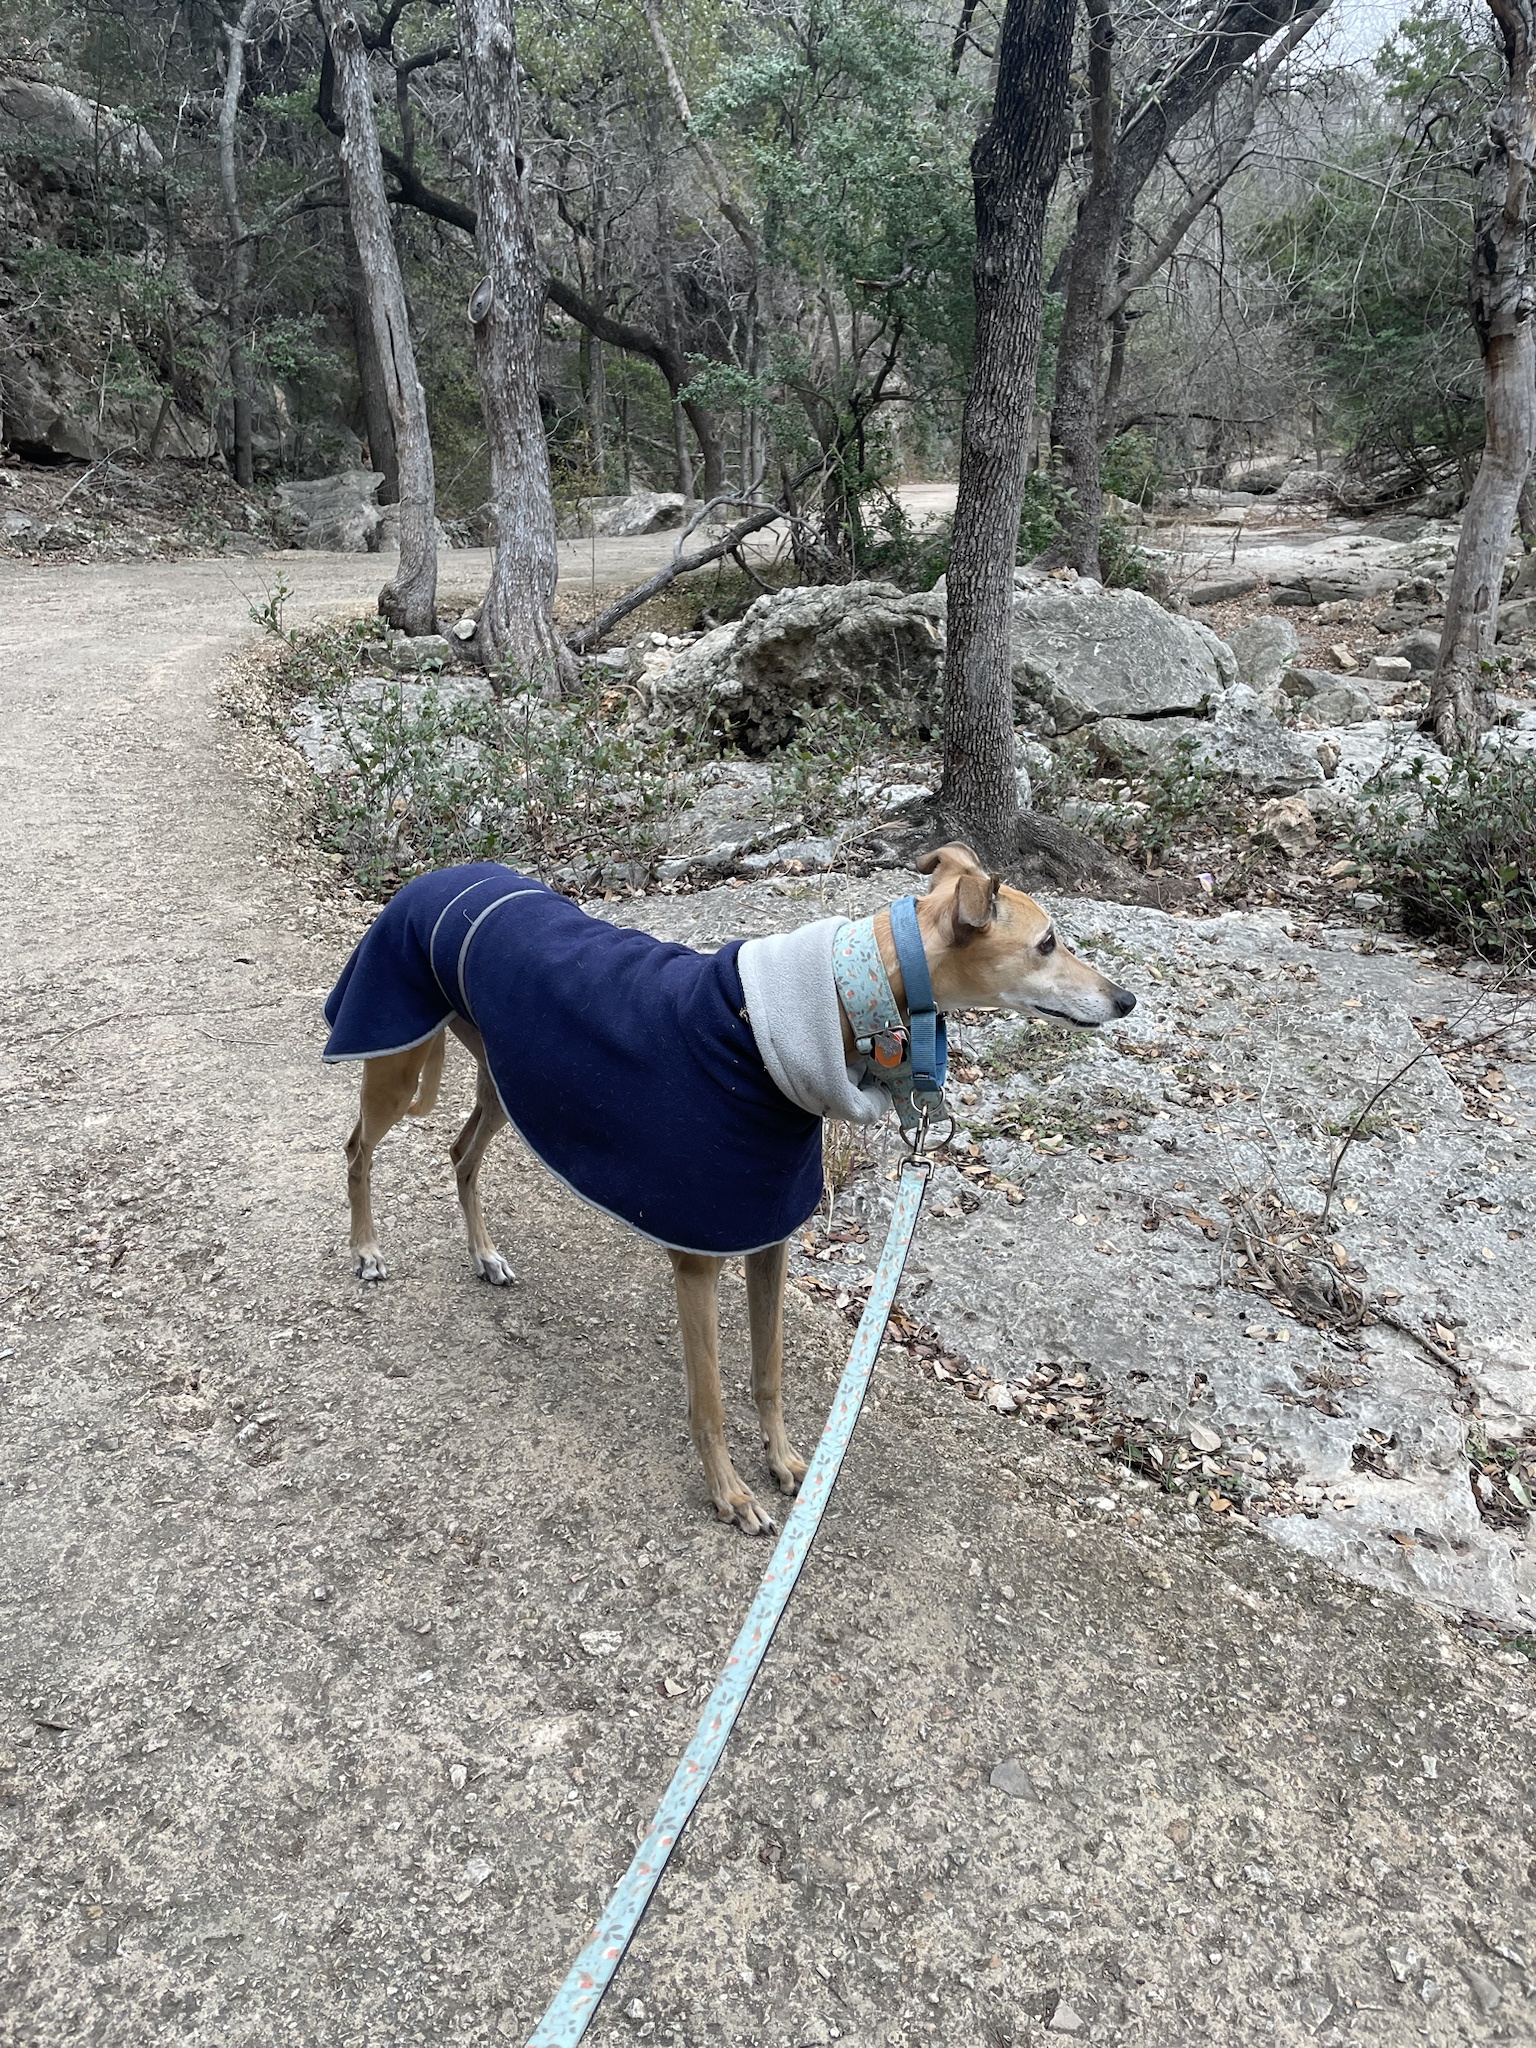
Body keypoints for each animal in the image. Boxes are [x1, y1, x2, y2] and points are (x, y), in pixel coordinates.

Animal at [333, 839, 1130, 1531]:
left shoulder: (769, 1238)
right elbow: (709, 1398)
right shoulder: (699, 1260)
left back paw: (484, 1254)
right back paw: (367, 1250)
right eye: (1048, 942)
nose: (1124, 1000)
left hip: (505, 1080)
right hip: (398, 1061)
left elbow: (767, 1371)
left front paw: (785, 1464)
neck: (834, 999)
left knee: (460, 1153)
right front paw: (730, 1495)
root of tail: (430, 876)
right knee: (356, 1149)